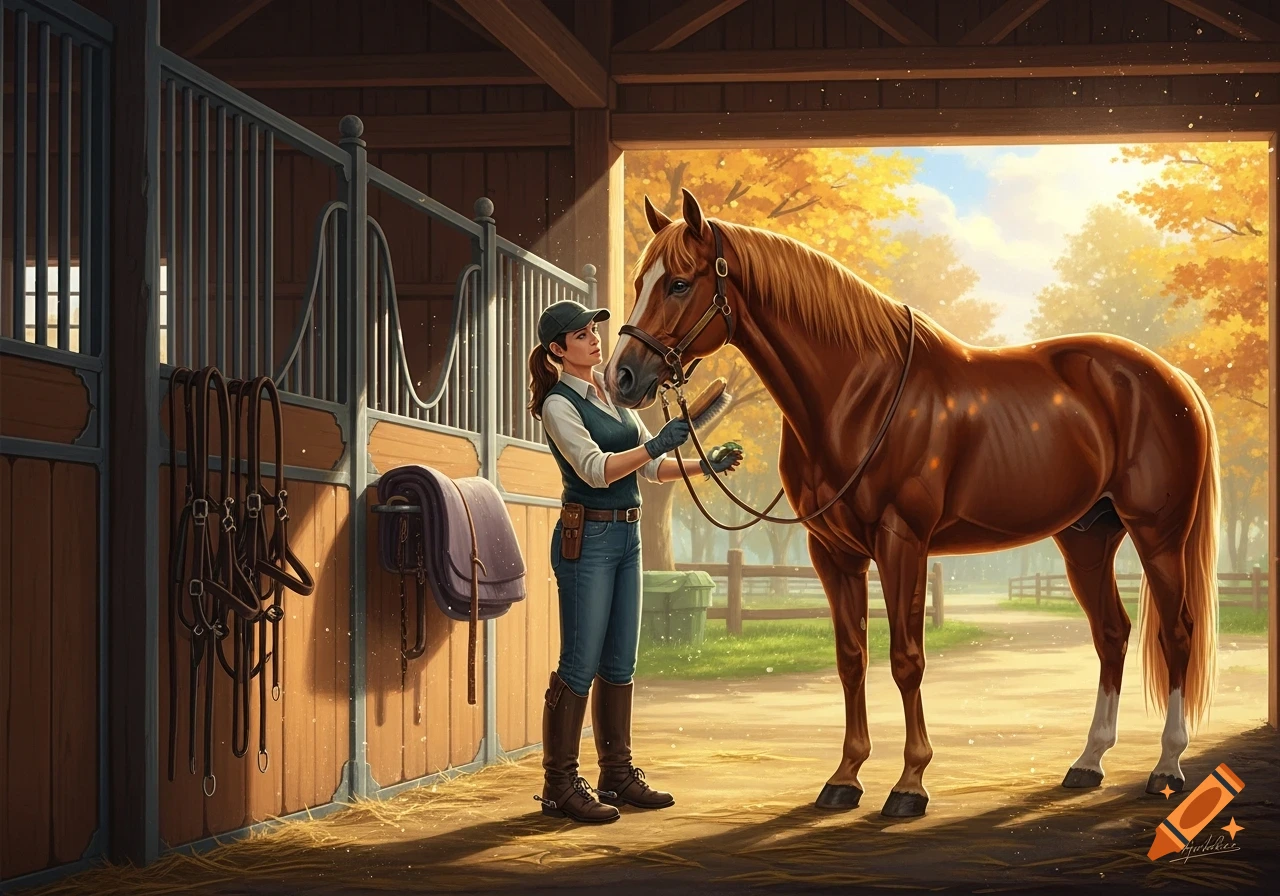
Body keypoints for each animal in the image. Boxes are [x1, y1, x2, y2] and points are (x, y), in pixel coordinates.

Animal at [603, 188, 1220, 819]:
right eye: (639, 281)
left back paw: (1166, 767)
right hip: (1086, 538)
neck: (859, 395)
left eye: (680, 283)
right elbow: (852, 657)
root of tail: (1172, 377)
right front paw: (845, 777)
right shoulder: (832, 552)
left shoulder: (903, 542)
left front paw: (910, 784)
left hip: (1158, 534)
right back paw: (1087, 763)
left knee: (1176, 632)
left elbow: (906, 658)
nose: (619, 376)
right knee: (1112, 633)